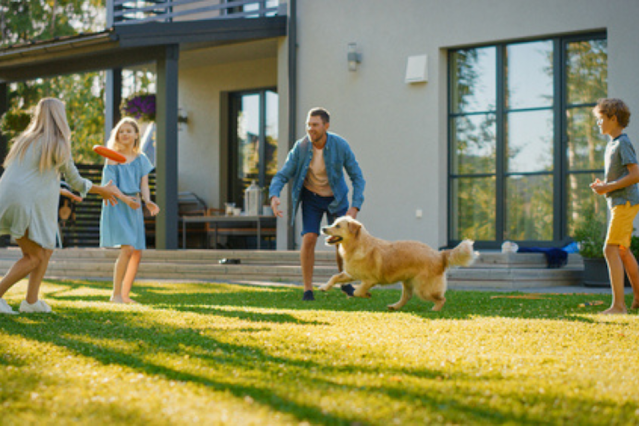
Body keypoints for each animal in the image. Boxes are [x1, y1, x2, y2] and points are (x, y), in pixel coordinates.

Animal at [318, 218, 476, 312]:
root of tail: (439, 254)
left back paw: (434, 310)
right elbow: (335, 277)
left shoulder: (370, 280)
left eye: (337, 226)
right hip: (408, 282)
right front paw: (324, 287)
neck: (357, 245)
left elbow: (357, 291)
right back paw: (394, 306)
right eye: (333, 223)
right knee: (406, 297)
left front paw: (366, 294)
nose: (323, 228)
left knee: (441, 298)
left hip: (423, 289)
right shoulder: (351, 274)